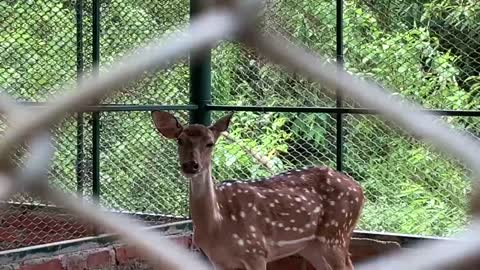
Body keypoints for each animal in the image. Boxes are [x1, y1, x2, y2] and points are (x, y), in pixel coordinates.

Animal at [152, 111, 366, 270]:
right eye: (179, 140)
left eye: (210, 143)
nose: (191, 165)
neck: (217, 223)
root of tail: (360, 190)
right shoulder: (217, 259)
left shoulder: (256, 251)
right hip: (313, 246)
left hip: (336, 234)